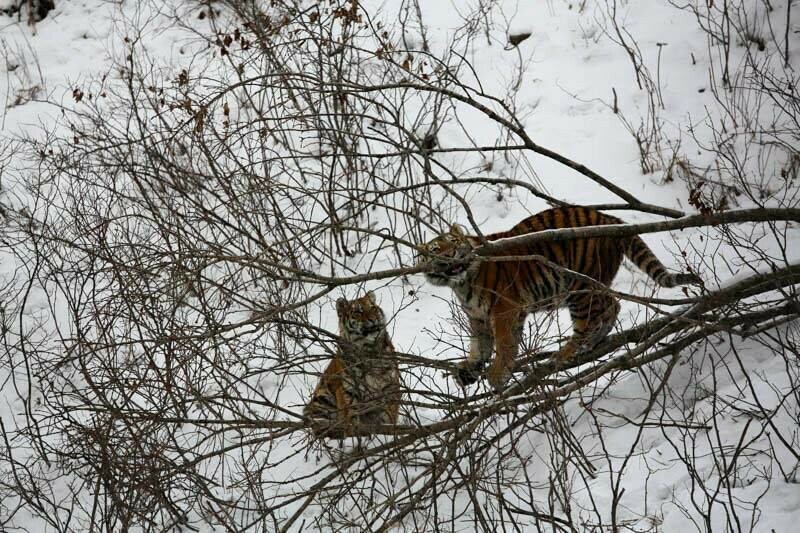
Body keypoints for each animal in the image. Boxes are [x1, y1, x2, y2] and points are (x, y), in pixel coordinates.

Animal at [302, 290, 400, 436]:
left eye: (372, 308)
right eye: (357, 312)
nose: (373, 319)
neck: (368, 350)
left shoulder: (389, 388)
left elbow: (389, 417)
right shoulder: (349, 391)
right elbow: (351, 418)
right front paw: (354, 436)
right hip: (321, 398)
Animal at [418, 206, 700, 388]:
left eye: (454, 243)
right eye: (435, 250)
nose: (451, 255)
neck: (461, 283)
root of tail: (610, 217)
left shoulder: (505, 310)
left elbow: (505, 344)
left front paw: (497, 375)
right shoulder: (478, 318)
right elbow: (480, 345)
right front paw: (468, 370)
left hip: (579, 287)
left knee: (592, 320)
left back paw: (564, 354)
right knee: (613, 306)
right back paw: (592, 343)